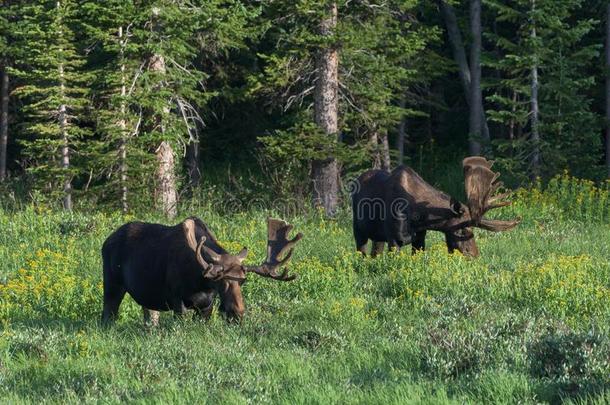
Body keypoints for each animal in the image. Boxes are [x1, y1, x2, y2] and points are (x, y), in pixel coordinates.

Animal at [101, 216, 302, 324]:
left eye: (243, 281)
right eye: (222, 282)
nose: (237, 313)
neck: (200, 282)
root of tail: (106, 241)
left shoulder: (206, 305)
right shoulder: (177, 300)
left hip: (149, 299)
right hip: (112, 285)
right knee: (107, 315)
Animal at [352, 156, 516, 258]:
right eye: (463, 229)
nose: (474, 255)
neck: (419, 218)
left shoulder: (420, 237)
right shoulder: (394, 239)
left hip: (378, 236)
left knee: (375, 253)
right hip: (358, 230)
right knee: (362, 253)